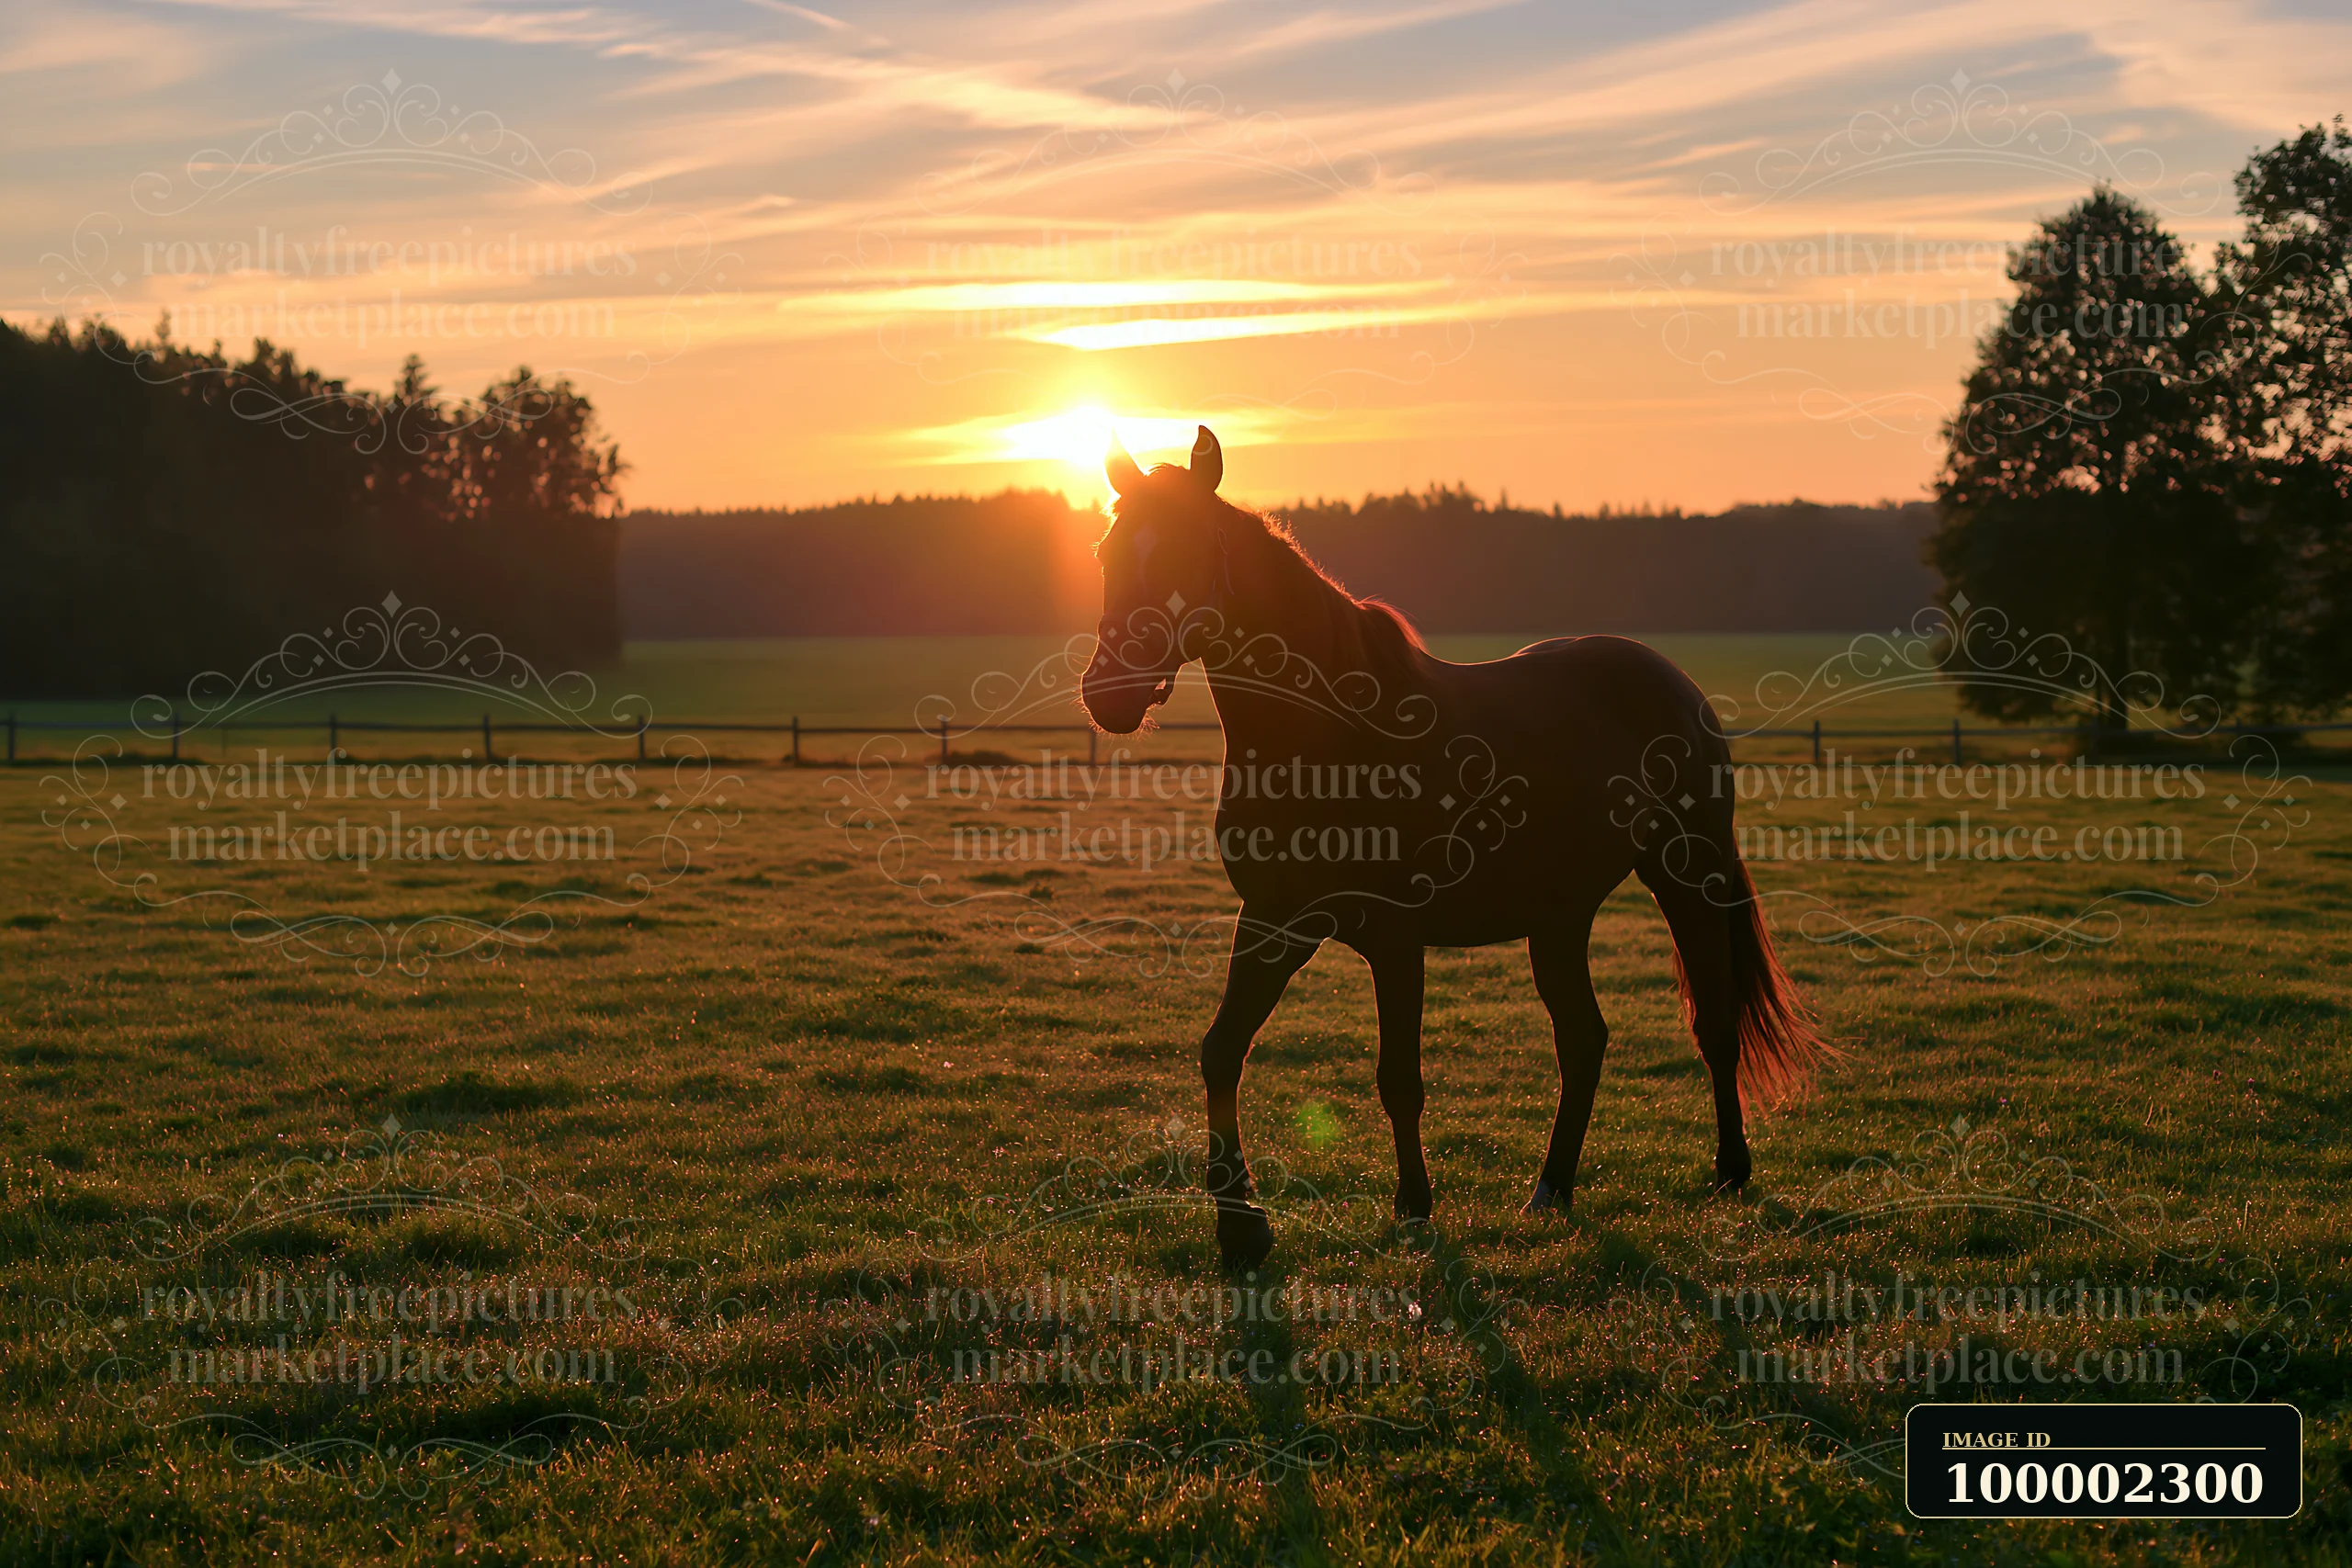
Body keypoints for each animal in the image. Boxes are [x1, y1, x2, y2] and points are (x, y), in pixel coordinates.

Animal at [1080, 425, 1823, 1266]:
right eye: (1107, 551)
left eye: (1182, 552)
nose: (1109, 695)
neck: (1328, 737)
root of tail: (1669, 680)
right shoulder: (1274, 919)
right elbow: (1221, 1049)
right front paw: (1241, 1225)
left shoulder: (1396, 936)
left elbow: (1398, 1075)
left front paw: (1413, 1206)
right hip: (1559, 916)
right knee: (1584, 1039)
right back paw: (1551, 1189)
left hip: (1688, 877)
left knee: (1715, 1024)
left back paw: (1729, 1169)